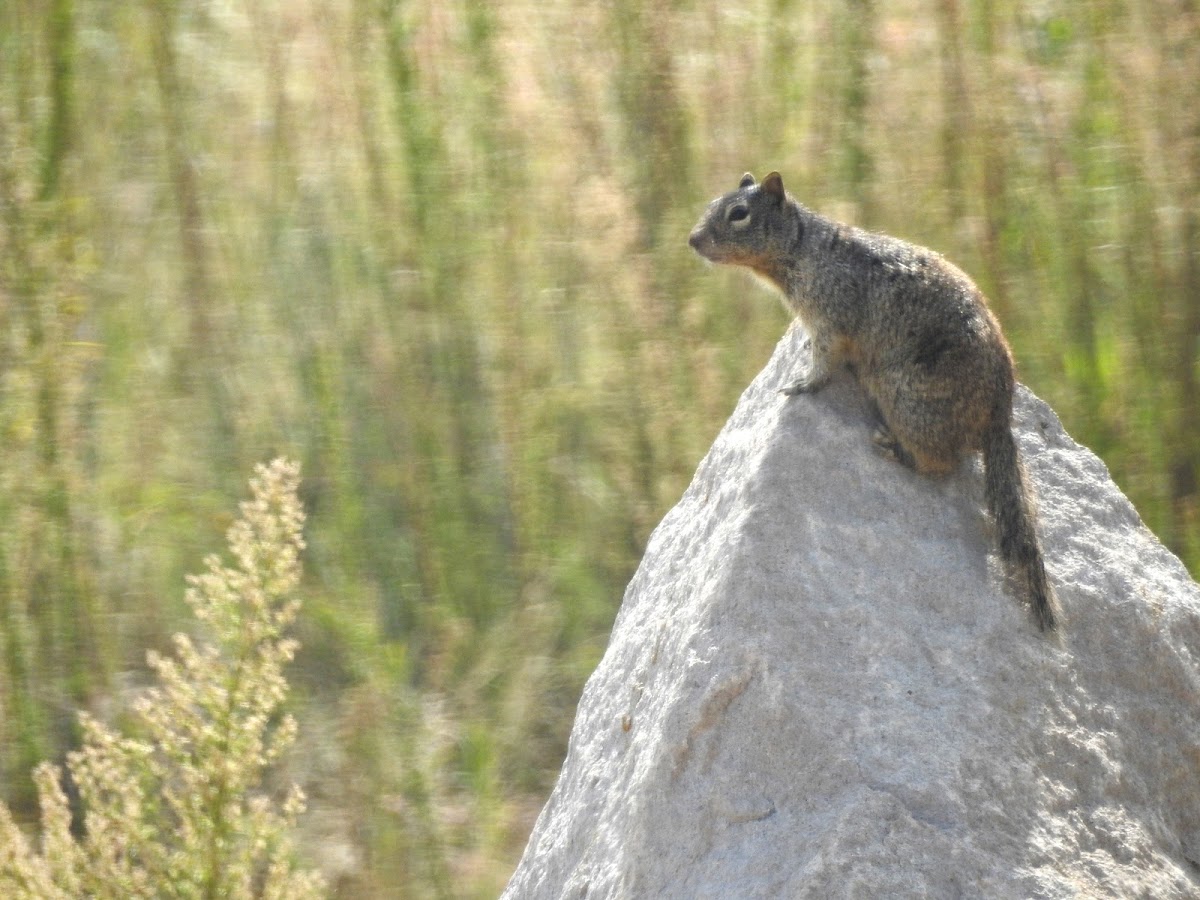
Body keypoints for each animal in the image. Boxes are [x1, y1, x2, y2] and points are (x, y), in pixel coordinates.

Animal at [686, 170, 1060, 633]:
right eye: (712, 204)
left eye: (738, 214)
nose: (692, 240)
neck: (805, 248)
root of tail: (999, 415)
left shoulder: (830, 319)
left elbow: (824, 360)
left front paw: (802, 383)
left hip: (906, 399)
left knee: (939, 463)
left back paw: (895, 449)